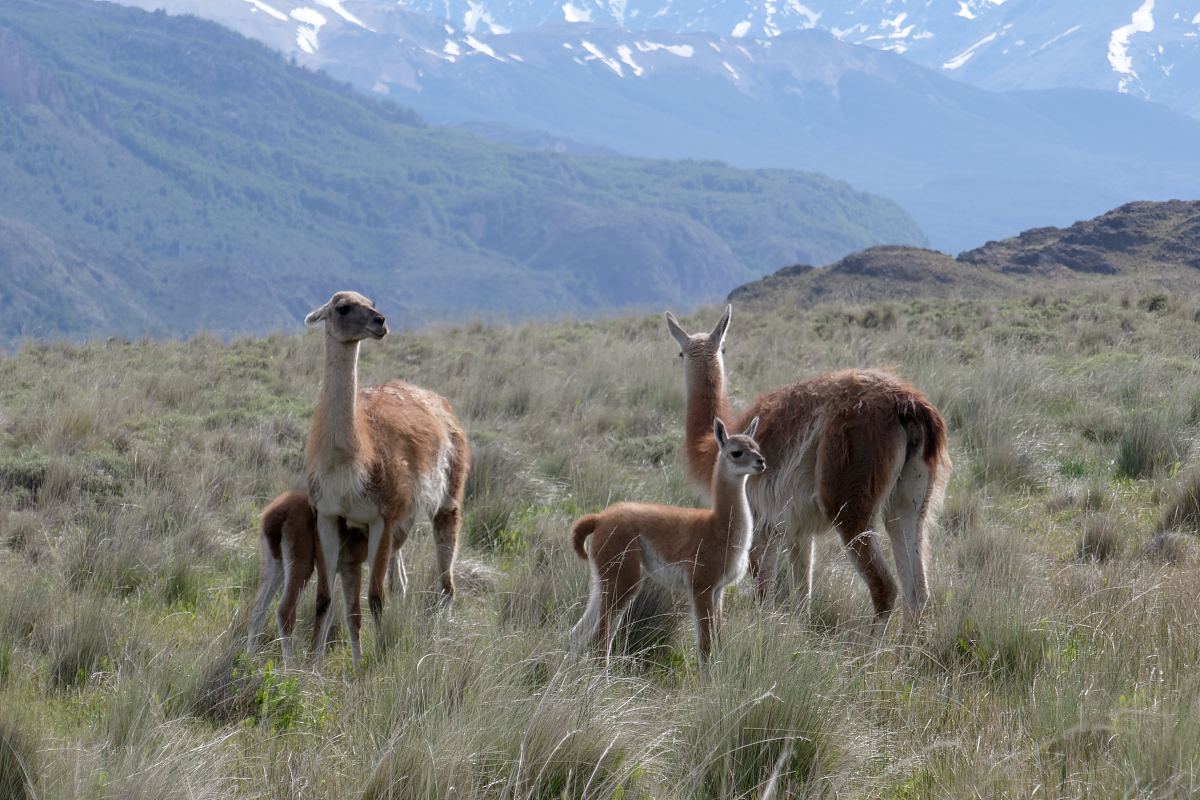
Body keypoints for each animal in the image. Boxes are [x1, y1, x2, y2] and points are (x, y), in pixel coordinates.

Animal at [568, 419, 758, 662]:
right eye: (736, 452)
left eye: (756, 447)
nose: (761, 462)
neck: (718, 529)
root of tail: (600, 519)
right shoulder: (701, 585)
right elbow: (705, 646)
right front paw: (708, 673)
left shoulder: (719, 590)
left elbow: (718, 641)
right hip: (622, 574)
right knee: (598, 639)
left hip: (604, 577)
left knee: (580, 632)